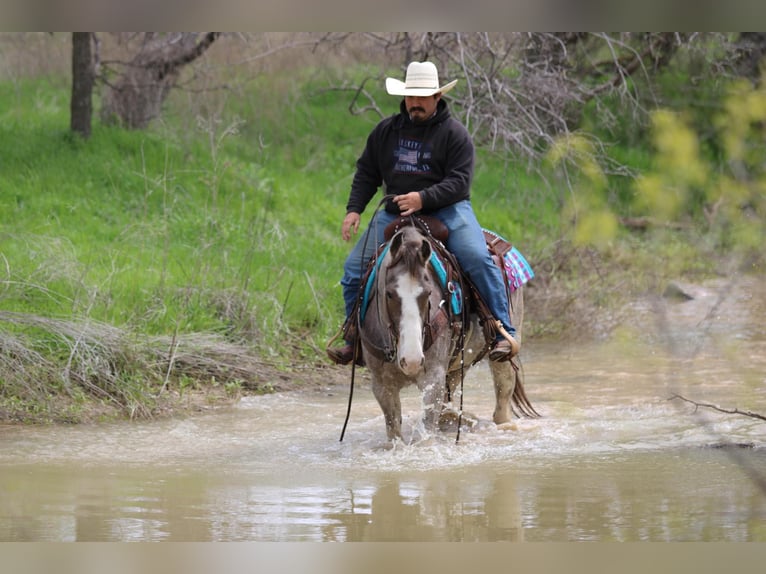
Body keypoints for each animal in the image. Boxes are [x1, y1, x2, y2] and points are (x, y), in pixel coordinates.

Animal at [352, 223, 536, 444]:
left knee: (502, 399)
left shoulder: (433, 379)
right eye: (389, 294)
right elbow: (394, 430)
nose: (412, 360)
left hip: (505, 354)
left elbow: (427, 430)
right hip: (458, 365)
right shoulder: (382, 385)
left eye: (428, 293)